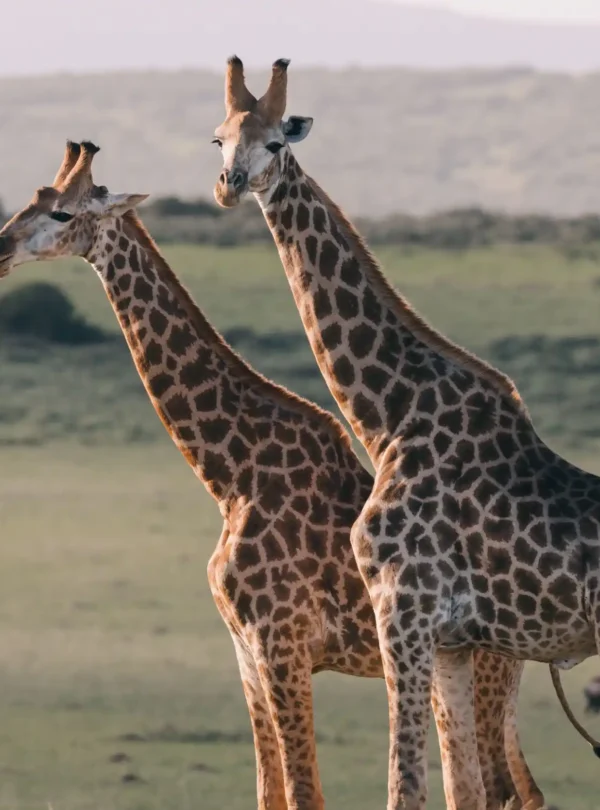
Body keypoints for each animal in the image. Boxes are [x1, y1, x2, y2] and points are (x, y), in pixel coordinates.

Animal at [0, 142, 542, 810]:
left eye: (62, 212)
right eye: (33, 198)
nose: (1, 248)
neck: (230, 474)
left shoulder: (280, 645)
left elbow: (305, 794)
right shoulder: (246, 656)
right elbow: (269, 791)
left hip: (484, 663)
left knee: (502, 791)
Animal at [212, 56, 600, 810]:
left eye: (275, 141)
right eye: (220, 137)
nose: (230, 185)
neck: (390, 418)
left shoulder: (404, 612)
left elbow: (406, 785)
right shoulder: (449, 639)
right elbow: (460, 790)